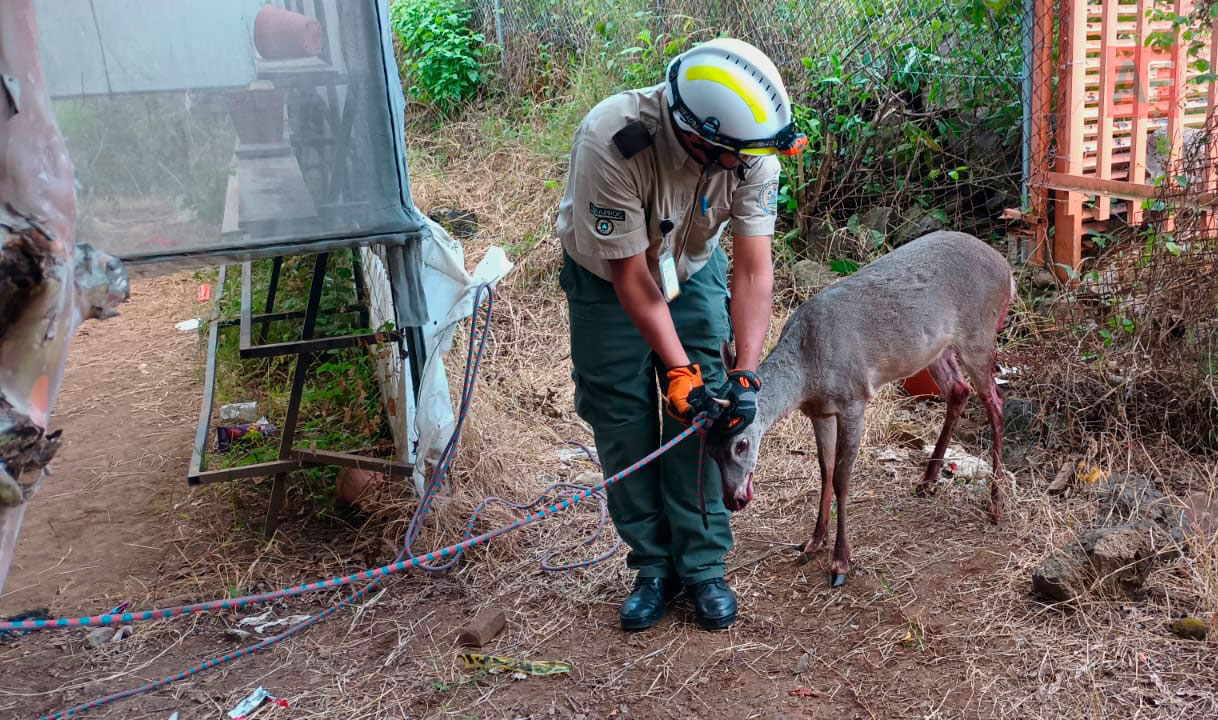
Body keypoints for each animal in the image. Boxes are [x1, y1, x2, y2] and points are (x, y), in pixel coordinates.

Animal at [711, 233, 1013, 589]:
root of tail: (1006, 269)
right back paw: (927, 480)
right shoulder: (819, 411)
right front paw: (814, 541)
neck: (807, 372)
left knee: (995, 401)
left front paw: (841, 562)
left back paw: (996, 504)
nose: (734, 499)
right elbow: (825, 469)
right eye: (709, 448)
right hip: (935, 349)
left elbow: (842, 476)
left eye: (741, 443)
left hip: (978, 333)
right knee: (958, 390)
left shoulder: (853, 398)